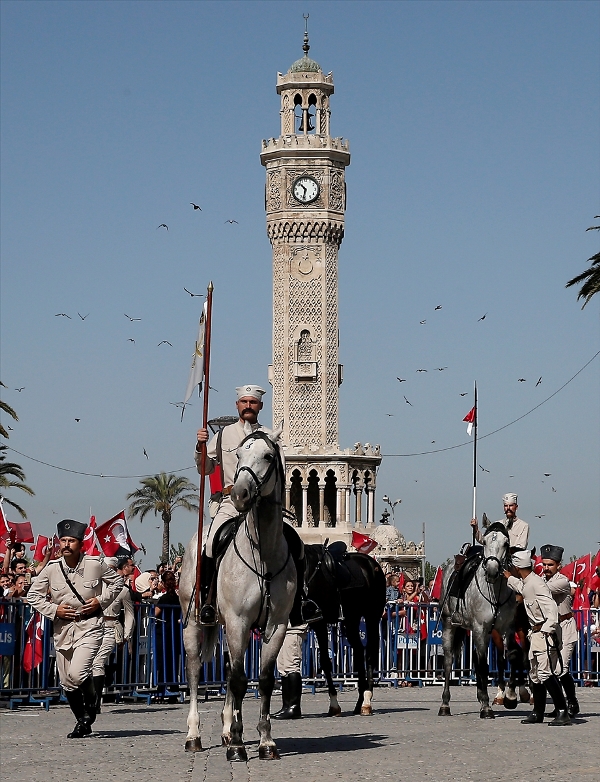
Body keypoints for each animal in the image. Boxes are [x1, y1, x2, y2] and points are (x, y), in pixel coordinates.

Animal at [178, 426, 296, 764]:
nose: (240, 494)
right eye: (239, 454)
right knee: (195, 671)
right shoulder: (238, 621)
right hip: (195, 624)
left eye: (268, 455)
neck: (264, 552)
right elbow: (241, 681)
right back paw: (195, 735)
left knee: (231, 670)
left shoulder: (276, 626)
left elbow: (264, 681)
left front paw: (265, 741)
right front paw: (238, 746)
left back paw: (228, 728)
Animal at [302, 544, 386, 716]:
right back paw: (359, 701)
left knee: (370, 652)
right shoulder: (316, 623)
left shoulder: (319, 620)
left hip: (372, 616)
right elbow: (324, 661)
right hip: (352, 619)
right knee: (359, 650)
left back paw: (366, 701)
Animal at [436, 524, 520, 720]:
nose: (492, 570)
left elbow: (512, 655)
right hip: (449, 625)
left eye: (506, 543)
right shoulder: (480, 628)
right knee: (448, 661)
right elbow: (482, 666)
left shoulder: (506, 629)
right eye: (485, 542)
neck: (495, 593)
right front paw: (486, 707)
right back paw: (445, 704)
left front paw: (510, 697)